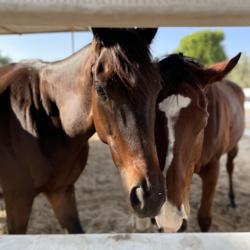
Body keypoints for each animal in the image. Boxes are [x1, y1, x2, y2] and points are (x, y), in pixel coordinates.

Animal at [154, 52, 244, 232]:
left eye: (204, 120)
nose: (169, 216)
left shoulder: (213, 168)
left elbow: (204, 218)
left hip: (234, 146)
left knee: (230, 166)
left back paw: (232, 199)